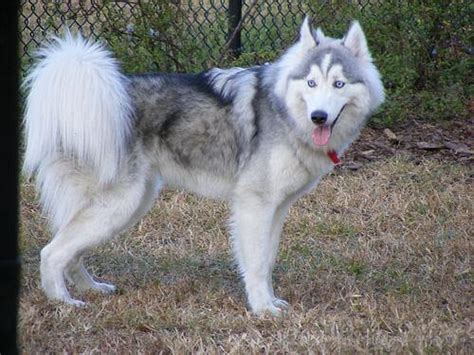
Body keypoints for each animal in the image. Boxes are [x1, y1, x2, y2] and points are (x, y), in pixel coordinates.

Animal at [24, 18, 384, 316]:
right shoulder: (254, 206)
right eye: (311, 83)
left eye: (338, 84)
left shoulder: (276, 208)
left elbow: (267, 260)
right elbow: (255, 264)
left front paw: (271, 301)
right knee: (52, 252)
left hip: (127, 205)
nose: (319, 117)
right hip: (118, 205)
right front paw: (263, 309)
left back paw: (91, 288)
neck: (284, 111)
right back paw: (64, 302)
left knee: (71, 251)